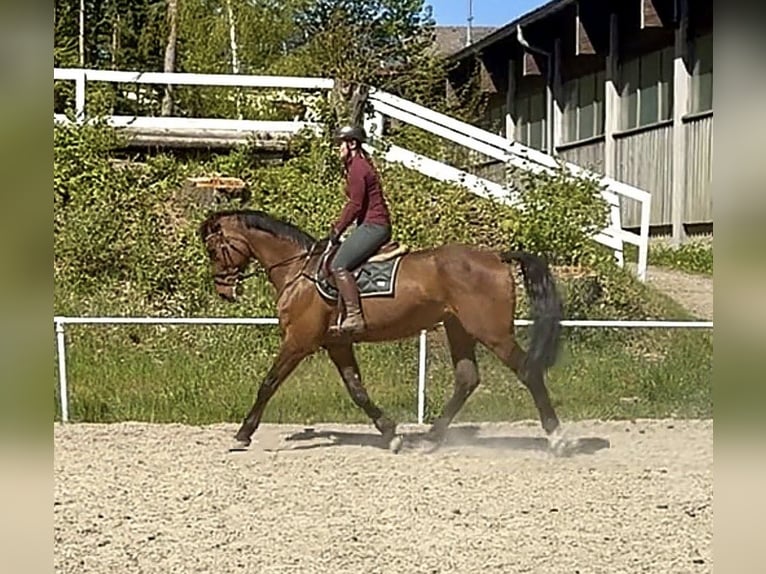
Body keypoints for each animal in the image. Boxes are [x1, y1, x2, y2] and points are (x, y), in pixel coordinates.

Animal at [198, 208, 572, 454]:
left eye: (214, 249)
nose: (223, 291)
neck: (298, 270)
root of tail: (495, 256)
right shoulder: (337, 344)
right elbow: (357, 390)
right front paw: (390, 432)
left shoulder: (299, 341)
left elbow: (268, 383)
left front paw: (243, 434)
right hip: (459, 329)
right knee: (467, 379)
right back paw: (430, 439)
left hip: (492, 332)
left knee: (527, 371)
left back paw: (557, 439)